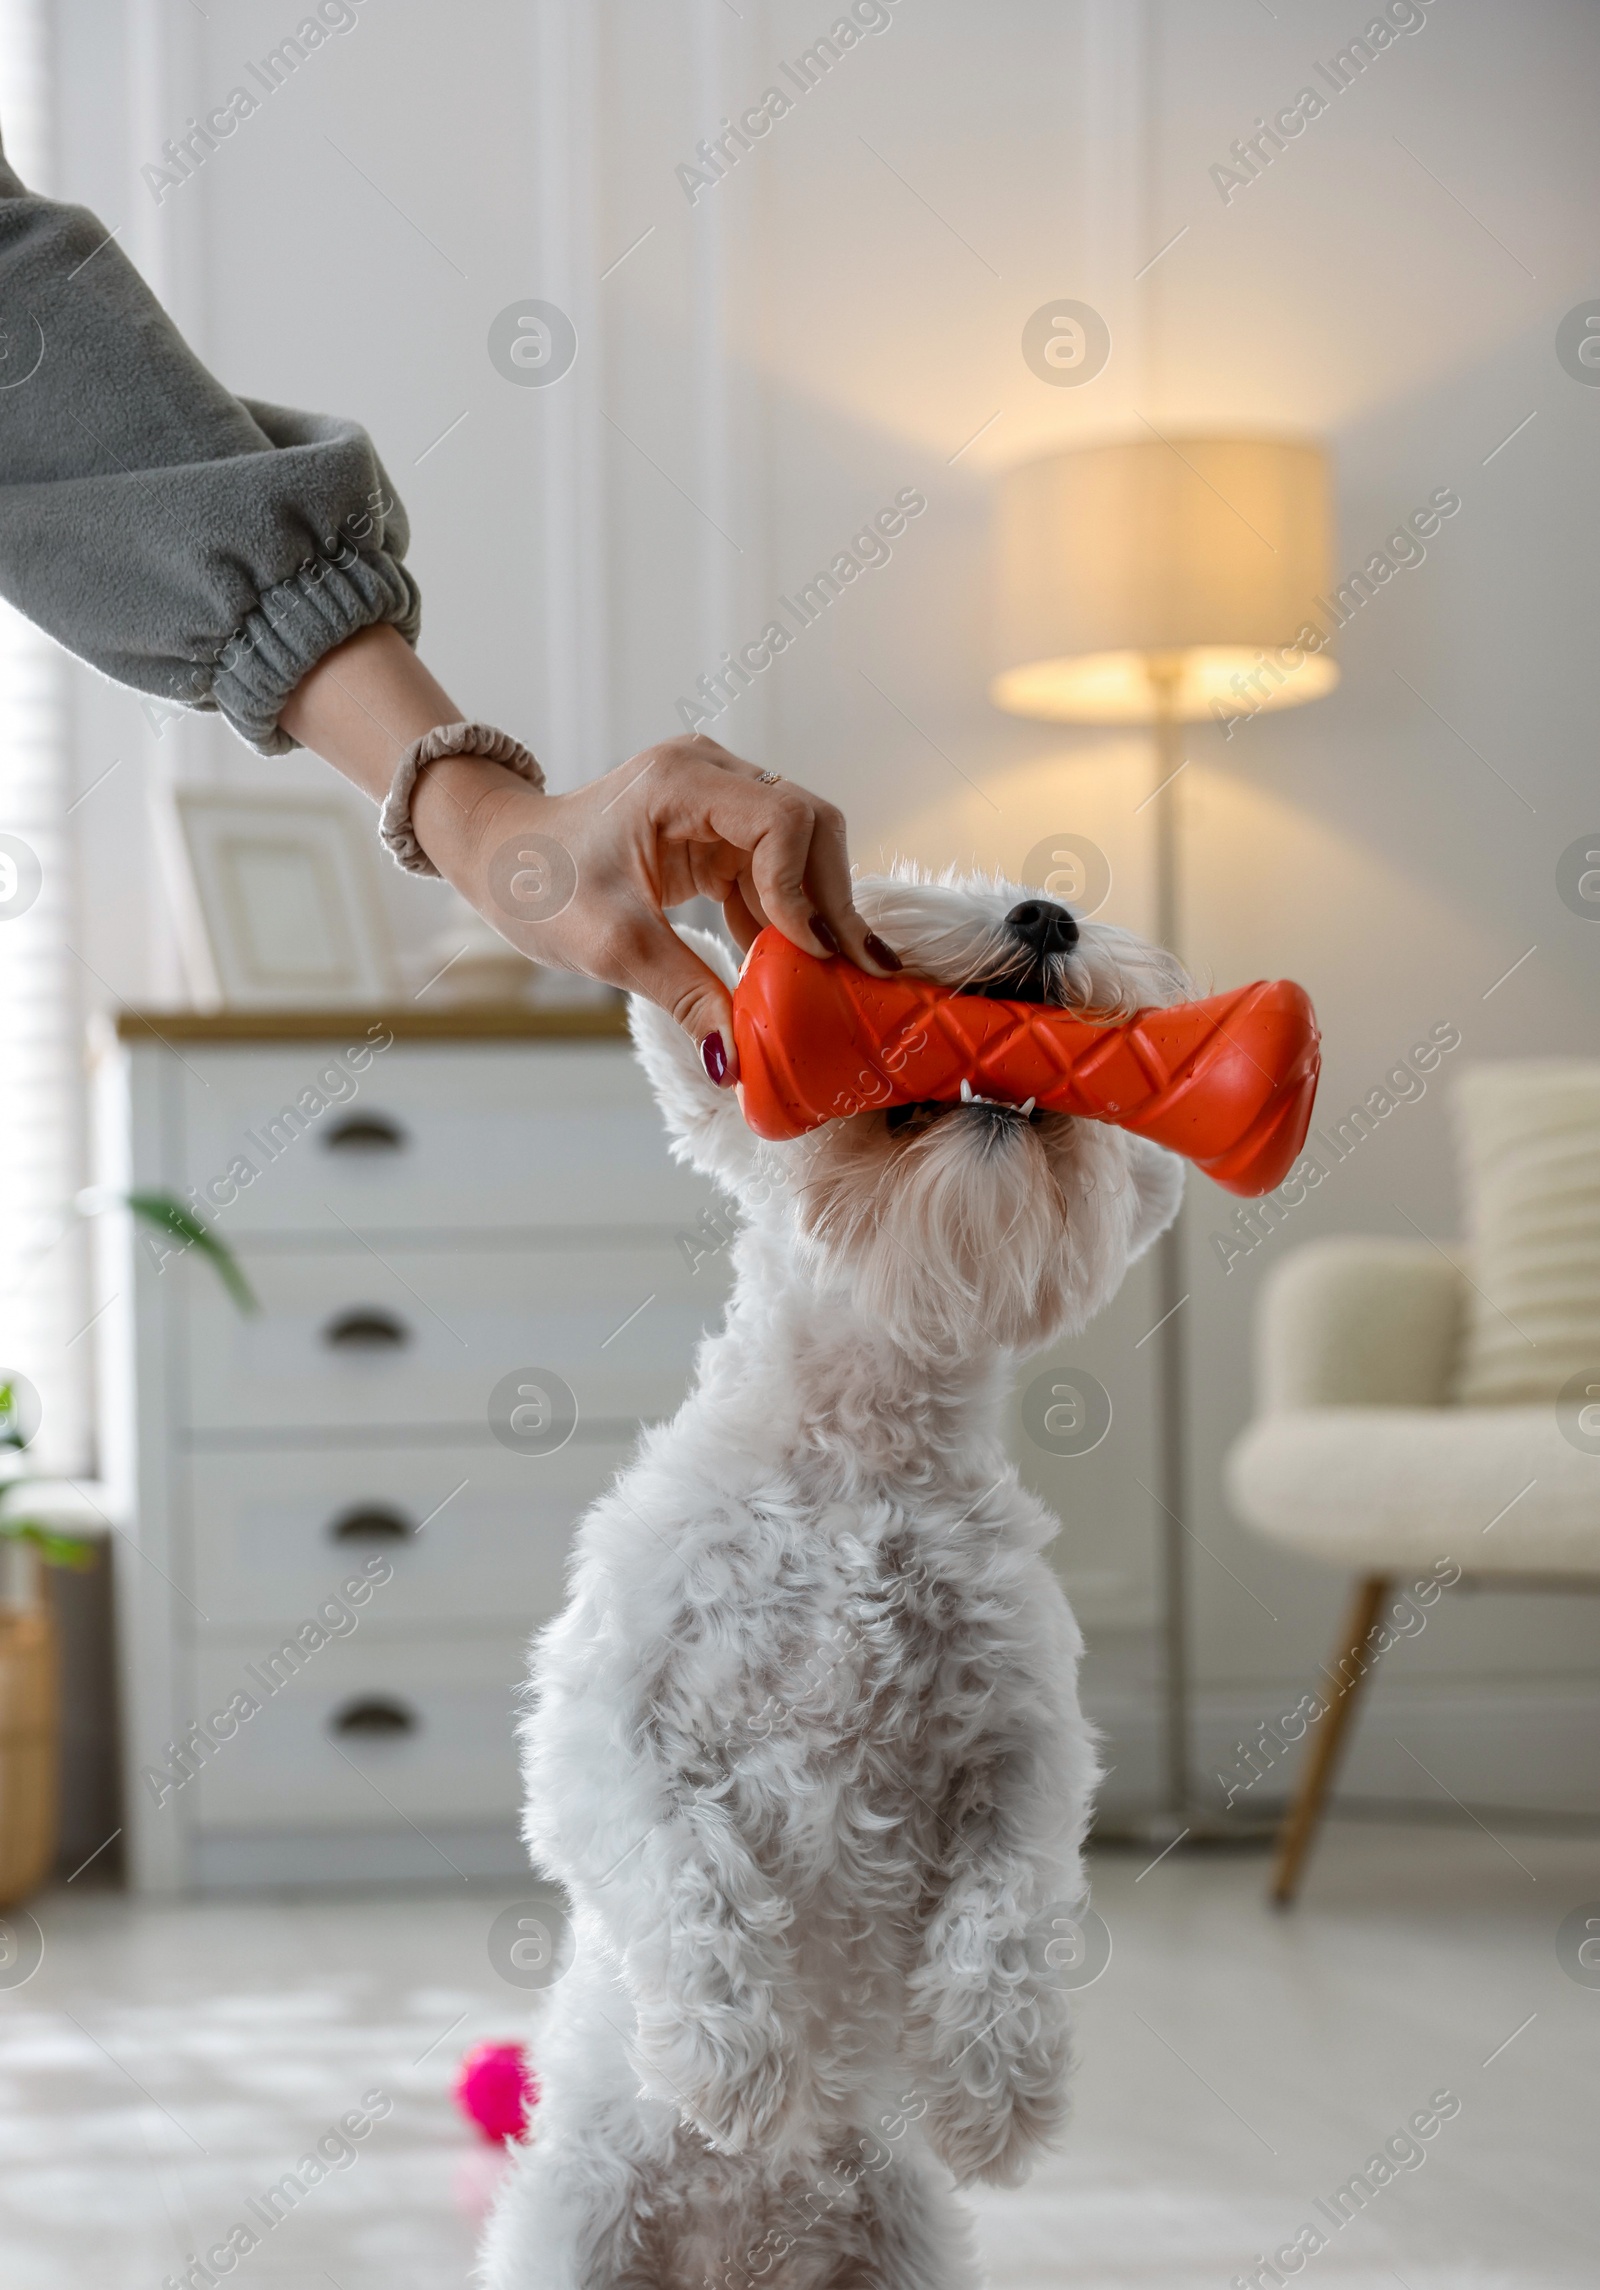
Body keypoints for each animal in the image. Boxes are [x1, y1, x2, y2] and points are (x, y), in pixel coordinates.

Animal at [485, 870, 1190, 2290]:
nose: (1044, 913)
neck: (861, 1447)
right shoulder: (608, 1723)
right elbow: (685, 1869)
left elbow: (1008, 1910)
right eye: (901, 900)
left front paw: (997, 2096)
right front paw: (736, 2070)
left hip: (905, 2248)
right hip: (574, 2228)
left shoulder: (1024, 1741)